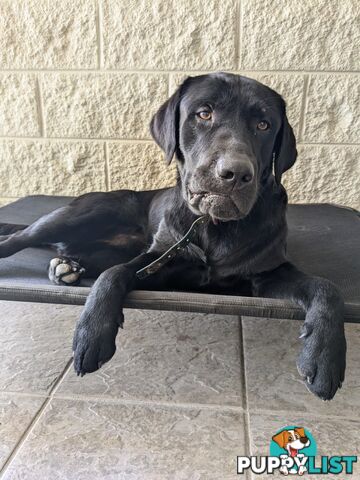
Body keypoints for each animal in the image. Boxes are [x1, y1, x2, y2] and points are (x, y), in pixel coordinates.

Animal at [0, 73, 344, 400]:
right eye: (203, 113)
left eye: (263, 124)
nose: (234, 173)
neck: (212, 226)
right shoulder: (158, 260)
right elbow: (113, 275)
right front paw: (92, 333)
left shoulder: (267, 274)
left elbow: (325, 287)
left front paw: (325, 357)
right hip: (82, 213)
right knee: (23, 238)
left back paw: (66, 266)